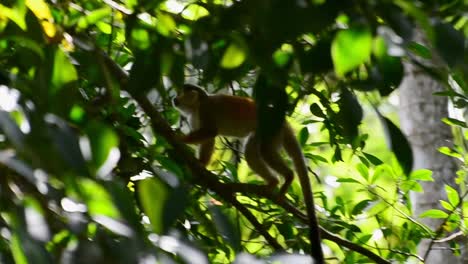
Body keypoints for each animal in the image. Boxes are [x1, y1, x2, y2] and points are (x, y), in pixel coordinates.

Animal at [174, 83, 324, 262]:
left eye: (181, 93)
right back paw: (273, 182)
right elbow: (209, 139)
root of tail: (284, 122)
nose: (174, 99)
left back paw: (288, 177)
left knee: (263, 150)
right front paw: (200, 165)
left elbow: (210, 132)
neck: (197, 105)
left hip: (272, 131)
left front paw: (179, 138)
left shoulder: (205, 109)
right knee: (252, 151)